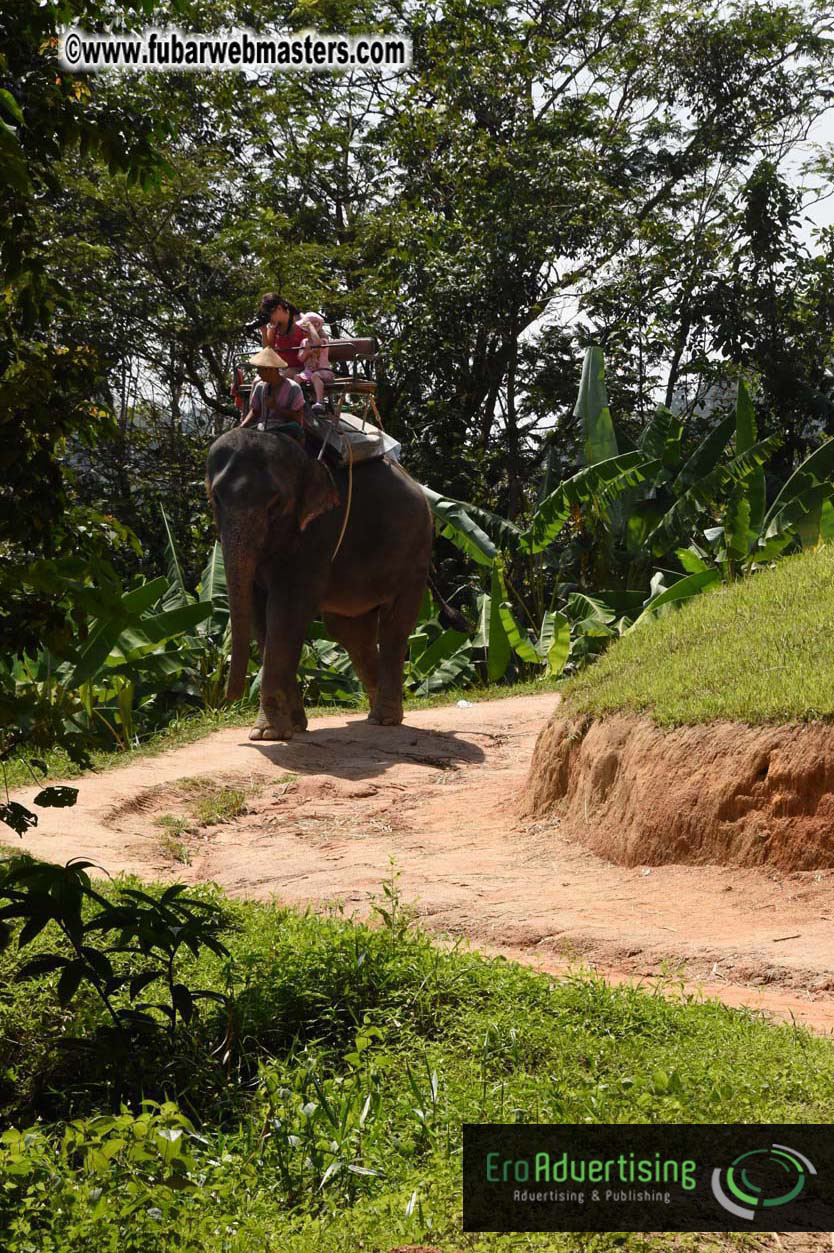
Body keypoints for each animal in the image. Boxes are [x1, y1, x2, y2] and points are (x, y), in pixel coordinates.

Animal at [205, 426, 435, 740]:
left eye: (275, 504)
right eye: (215, 497)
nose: (230, 698)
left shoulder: (319, 534)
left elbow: (286, 612)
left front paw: (267, 734)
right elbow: (259, 615)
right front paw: (293, 726)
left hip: (415, 554)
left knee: (394, 627)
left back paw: (385, 719)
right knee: (351, 633)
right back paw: (374, 713)